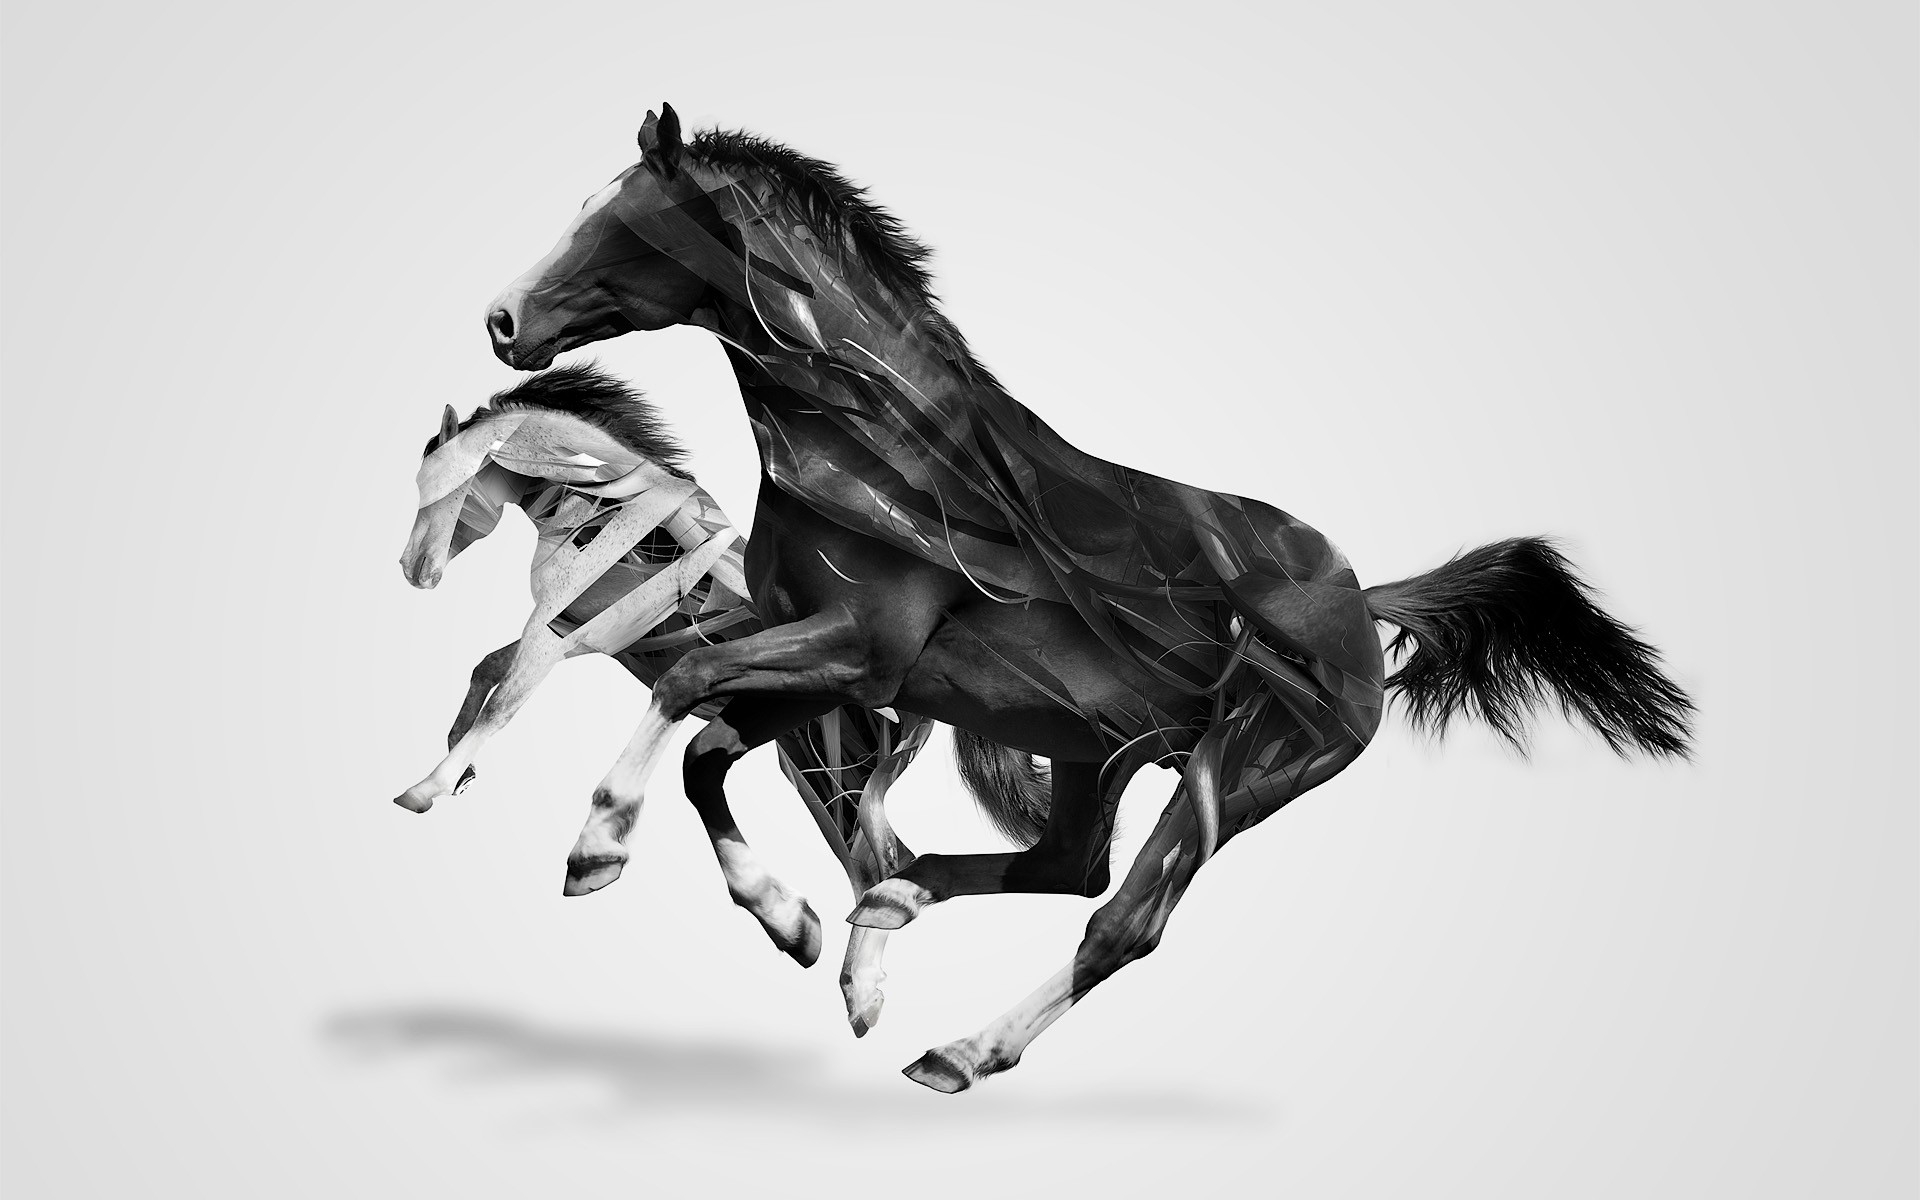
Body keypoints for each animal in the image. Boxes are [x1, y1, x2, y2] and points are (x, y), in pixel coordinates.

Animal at [394, 363, 1049, 1032]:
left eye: (437, 483)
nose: (413, 570)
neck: (605, 506)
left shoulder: (560, 632)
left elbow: (505, 702)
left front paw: (427, 788)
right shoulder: (579, 636)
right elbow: (488, 671)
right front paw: (458, 769)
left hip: (836, 762)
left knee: (878, 858)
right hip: (819, 763)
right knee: (875, 858)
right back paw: (827, 958)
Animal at [479, 105, 1694, 1092]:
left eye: (628, 224)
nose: (501, 321)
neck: (887, 453)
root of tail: (1358, 597)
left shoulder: (861, 649)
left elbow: (688, 679)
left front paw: (597, 850)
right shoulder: (821, 657)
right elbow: (707, 748)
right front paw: (799, 930)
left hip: (1237, 773)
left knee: (1121, 921)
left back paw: (962, 1048)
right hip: (1085, 749)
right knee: (1067, 868)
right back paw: (886, 916)